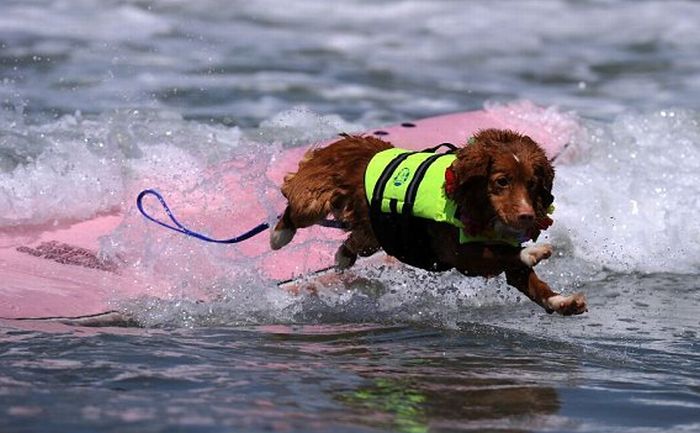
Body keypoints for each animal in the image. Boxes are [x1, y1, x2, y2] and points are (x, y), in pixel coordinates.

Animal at [270, 128, 588, 314]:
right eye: (501, 181)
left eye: (532, 184)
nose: (526, 216)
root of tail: (345, 140)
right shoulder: (460, 253)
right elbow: (502, 253)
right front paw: (533, 251)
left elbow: (531, 282)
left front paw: (562, 302)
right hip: (312, 199)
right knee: (292, 205)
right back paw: (279, 236)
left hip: (374, 232)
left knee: (357, 240)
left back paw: (344, 256)